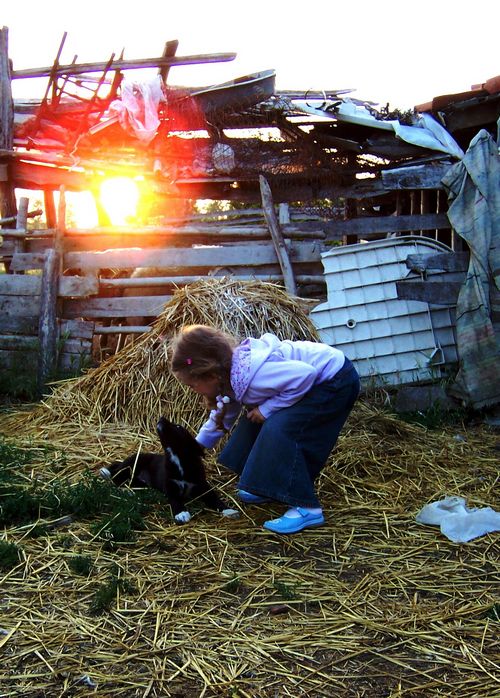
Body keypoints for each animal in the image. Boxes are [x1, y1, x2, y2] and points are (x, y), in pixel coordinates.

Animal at [99, 414, 238, 520]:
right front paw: (181, 513)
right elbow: (174, 499)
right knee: (116, 475)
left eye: (178, 426)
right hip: (133, 463)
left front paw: (228, 510)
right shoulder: (170, 485)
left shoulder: (202, 484)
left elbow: (213, 497)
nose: (161, 417)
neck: (176, 456)